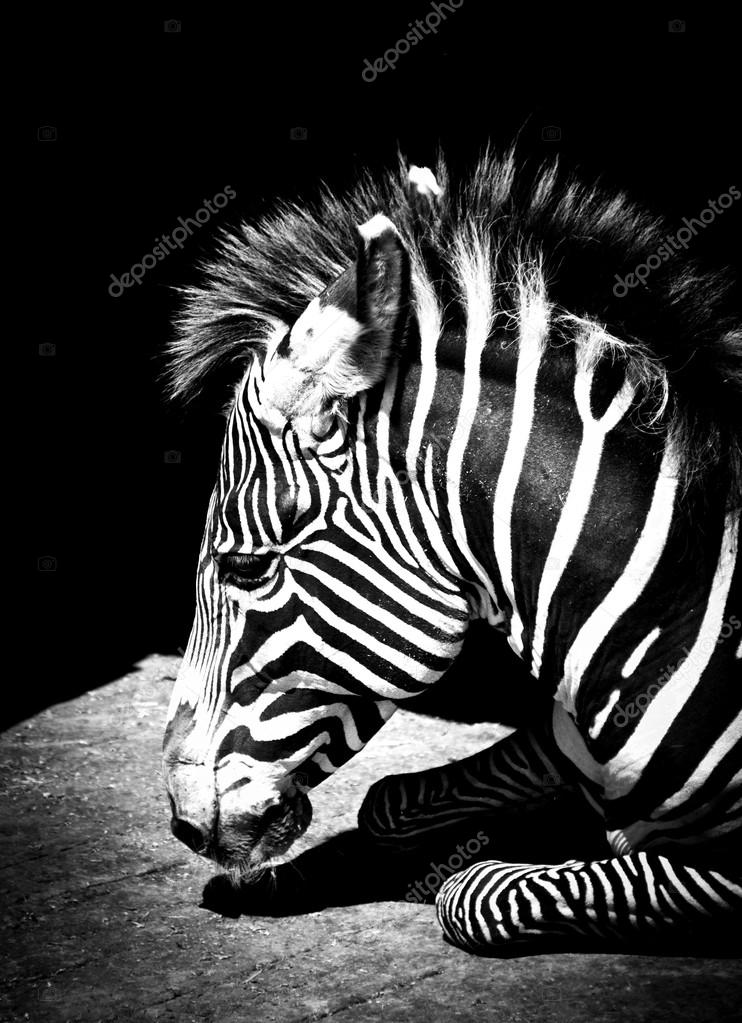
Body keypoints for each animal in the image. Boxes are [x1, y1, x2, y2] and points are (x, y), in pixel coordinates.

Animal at [162, 149, 742, 952]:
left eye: (244, 566)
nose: (183, 824)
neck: (665, 604)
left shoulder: (724, 871)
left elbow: (474, 895)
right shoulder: (561, 732)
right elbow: (387, 801)